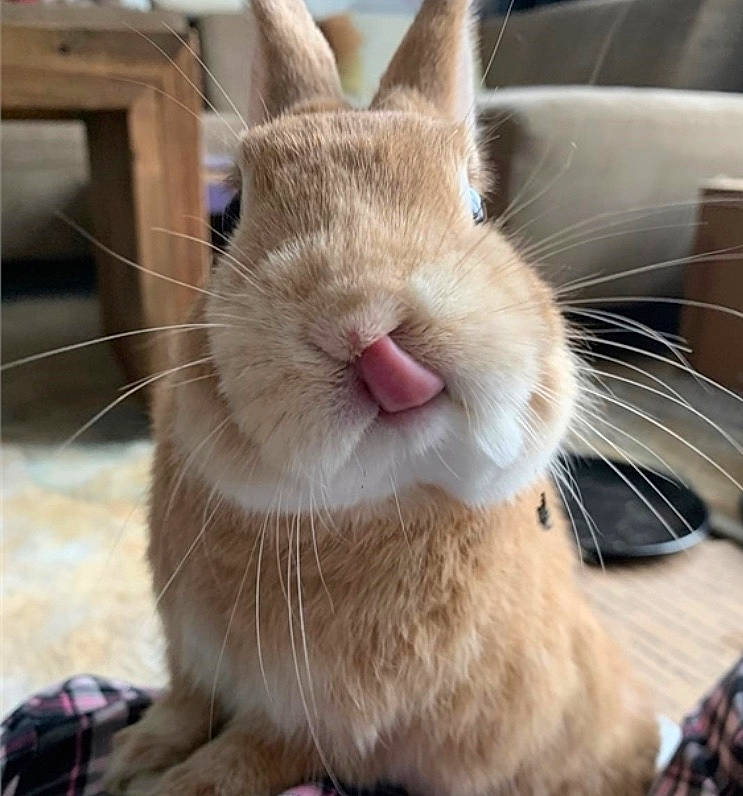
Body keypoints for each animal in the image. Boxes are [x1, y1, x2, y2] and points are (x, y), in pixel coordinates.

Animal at [103, 0, 659, 793]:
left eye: (477, 208)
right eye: (232, 213)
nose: (369, 326)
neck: (358, 508)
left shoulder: (328, 724)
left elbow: (252, 753)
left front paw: (174, 783)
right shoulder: (195, 661)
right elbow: (184, 705)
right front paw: (133, 757)